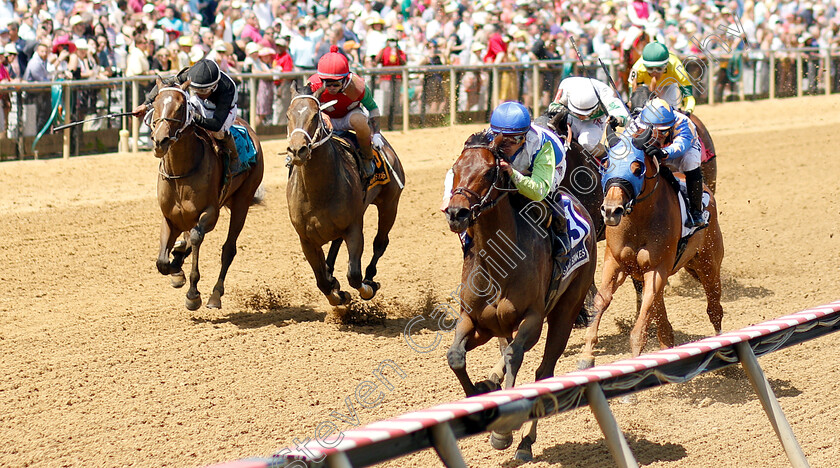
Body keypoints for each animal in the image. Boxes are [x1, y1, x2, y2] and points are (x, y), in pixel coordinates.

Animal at [149, 78, 264, 308]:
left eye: (180, 107)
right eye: (155, 103)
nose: (160, 141)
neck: (181, 172)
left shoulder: (210, 212)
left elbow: (195, 237)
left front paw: (193, 294)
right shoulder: (169, 217)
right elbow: (162, 261)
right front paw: (176, 266)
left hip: (242, 201)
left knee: (229, 249)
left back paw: (215, 295)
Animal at [288, 81, 406, 308]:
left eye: (315, 115)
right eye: (288, 115)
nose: (297, 150)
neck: (318, 193)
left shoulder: (353, 228)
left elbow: (354, 275)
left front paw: (366, 289)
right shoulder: (306, 239)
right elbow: (322, 282)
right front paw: (337, 292)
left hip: (390, 204)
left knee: (380, 243)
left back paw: (370, 276)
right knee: (336, 244)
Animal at [440, 131, 596, 460]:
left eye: (489, 172)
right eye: (455, 167)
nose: (457, 213)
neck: (498, 261)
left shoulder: (533, 319)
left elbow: (516, 356)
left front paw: (503, 432)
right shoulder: (476, 321)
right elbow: (456, 356)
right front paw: (479, 395)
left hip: (565, 310)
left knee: (544, 371)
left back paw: (525, 441)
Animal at [580, 137, 724, 368]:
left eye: (637, 168)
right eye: (606, 164)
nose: (611, 210)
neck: (638, 221)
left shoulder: (655, 270)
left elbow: (643, 318)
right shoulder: (615, 263)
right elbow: (601, 301)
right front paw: (587, 354)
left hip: (708, 265)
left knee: (714, 308)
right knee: (664, 322)